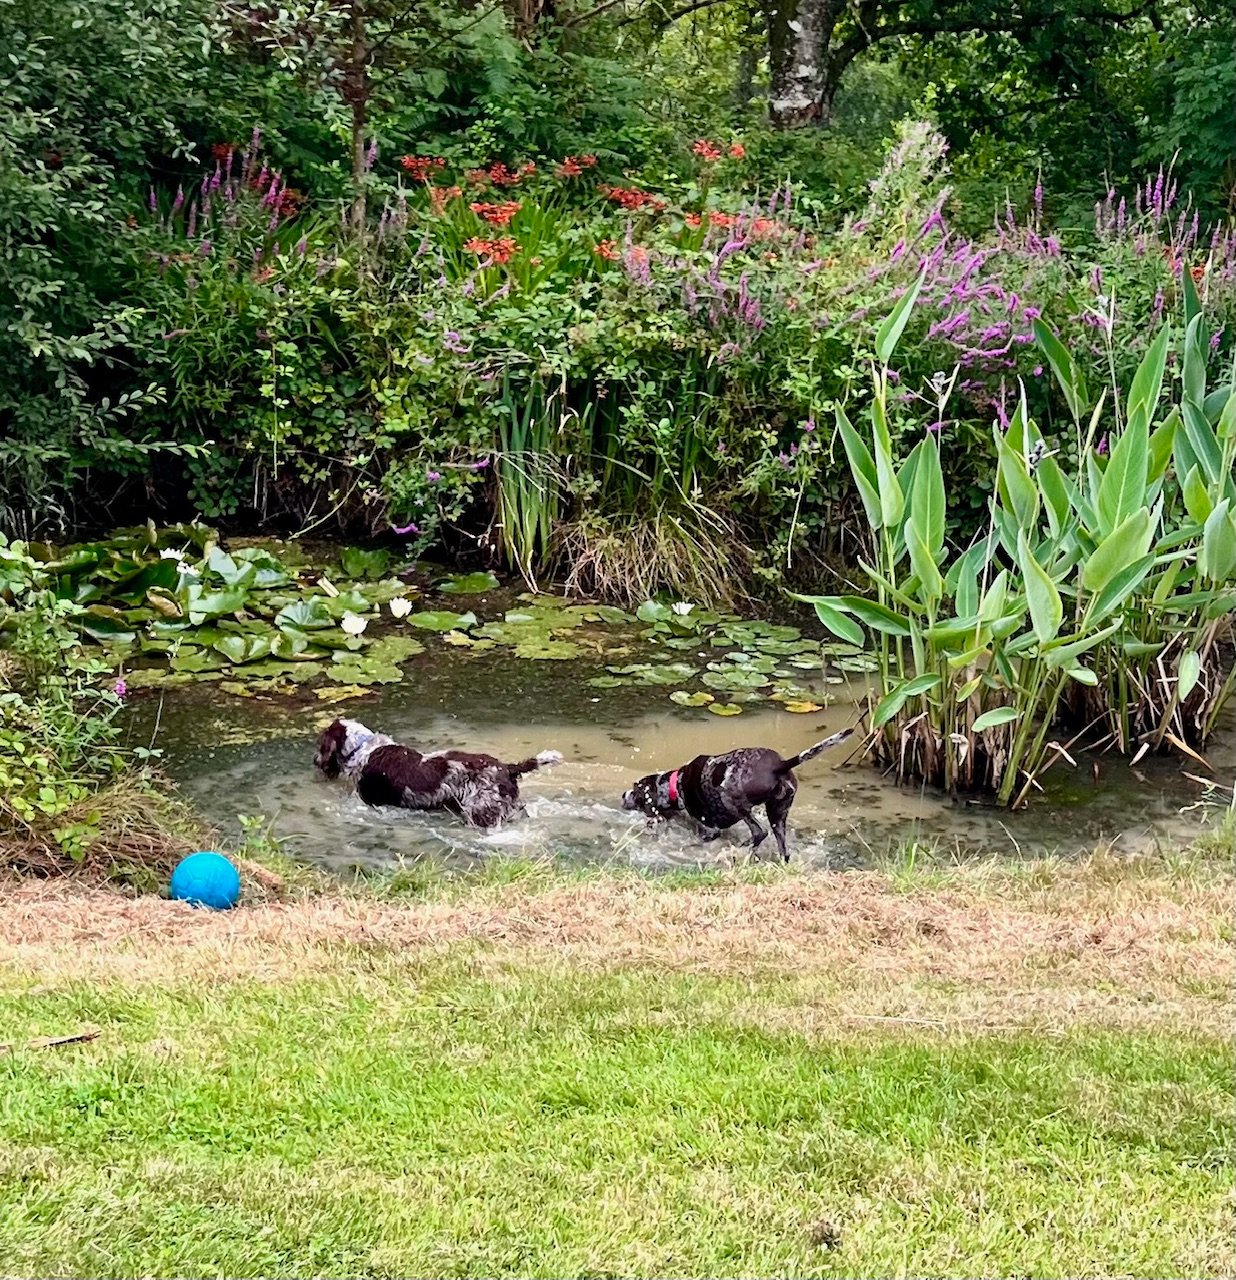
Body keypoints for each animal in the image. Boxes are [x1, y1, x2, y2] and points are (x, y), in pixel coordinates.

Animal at [624, 732, 854, 860]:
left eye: (636, 791)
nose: (623, 795)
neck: (676, 783)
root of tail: (779, 765)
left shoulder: (710, 829)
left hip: (732, 799)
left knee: (759, 832)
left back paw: (742, 850)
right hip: (778, 815)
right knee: (783, 850)